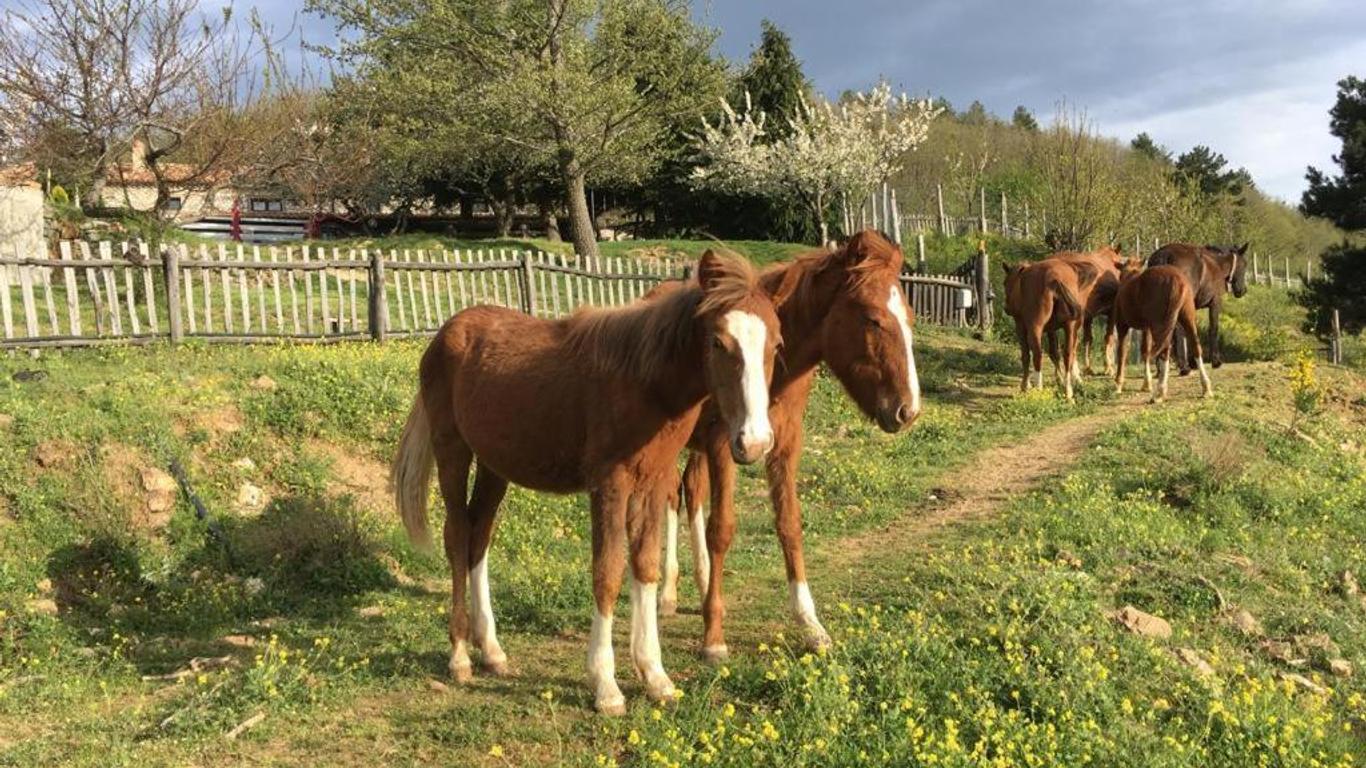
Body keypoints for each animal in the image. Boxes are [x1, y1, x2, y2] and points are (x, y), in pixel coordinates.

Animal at [396, 250, 781, 710]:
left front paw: (655, 675)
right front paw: (605, 685)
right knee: (457, 537)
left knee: (478, 537)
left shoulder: (652, 483)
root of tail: (445, 333)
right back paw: (459, 656)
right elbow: (608, 571)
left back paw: (491, 650)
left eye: (777, 344)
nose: (754, 442)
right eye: (718, 342)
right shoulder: (609, 485)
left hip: (494, 467)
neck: (644, 382)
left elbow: (645, 567)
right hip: (452, 450)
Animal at [655, 229, 923, 655]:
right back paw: (667, 593)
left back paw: (702, 583)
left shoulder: (784, 445)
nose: (908, 410)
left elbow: (789, 523)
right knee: (668, 497)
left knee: (690, 489)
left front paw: (810, 623)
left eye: (910, 318)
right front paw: (714, 636)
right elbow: (722, 529)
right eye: (872, 318)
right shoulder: (724, 444)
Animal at [1005, 258, 1098, 401]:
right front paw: (1059, 380)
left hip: (1035, 328)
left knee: (1037, 354)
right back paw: (1068, 391)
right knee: (1068, 354)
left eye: (1005, 283)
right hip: (1070, 326)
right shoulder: (1052, 330)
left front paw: (1025, 385)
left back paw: (1039, 388)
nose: (1006, 308)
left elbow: (1026, 355)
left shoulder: (1020, 326)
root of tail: (1054, 279)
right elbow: (1055, 352)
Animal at [1147, 239, 1251, 371]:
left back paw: (1162, 366)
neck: (1218, 265)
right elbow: (1213, 328)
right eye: (1244, 264)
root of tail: (1165, 256)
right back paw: (1183, 367)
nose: (1242, 291)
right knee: (1177, 329)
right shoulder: (1215, 303)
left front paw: (1193, 362)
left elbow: (1193, 330)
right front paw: (1215, 361)